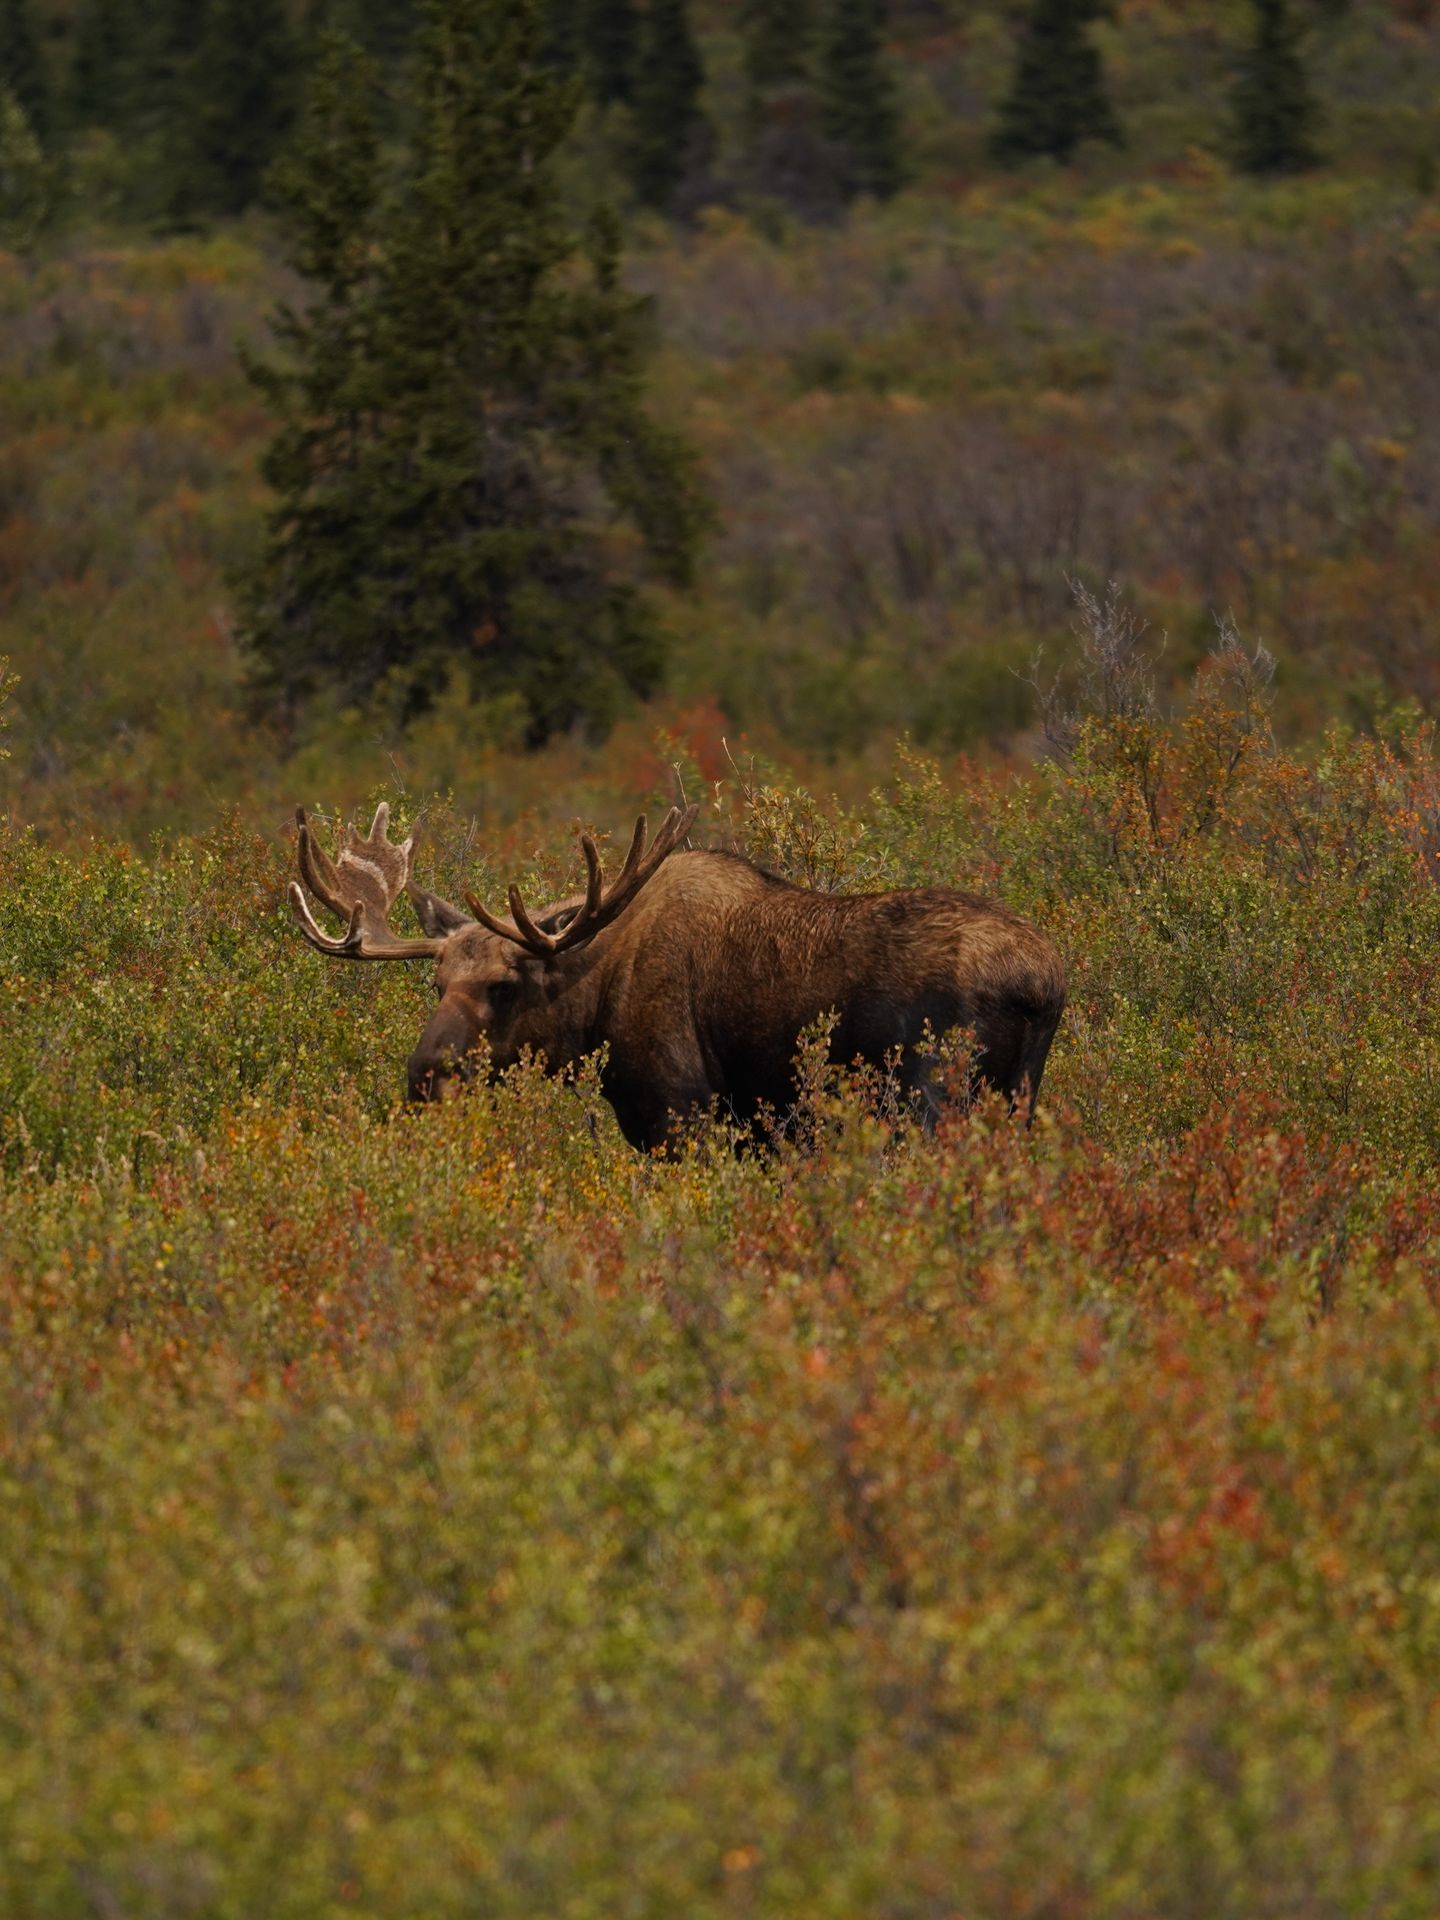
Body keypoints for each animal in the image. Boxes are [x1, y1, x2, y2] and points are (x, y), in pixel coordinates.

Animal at [289, 802, 1066, 1150]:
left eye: (504, 986)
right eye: (436, 982)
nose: (424, 1075)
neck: (594, 1005)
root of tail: (1043, 984)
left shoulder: (678, 1114)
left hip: (936, 1101)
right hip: (1016, 1102)